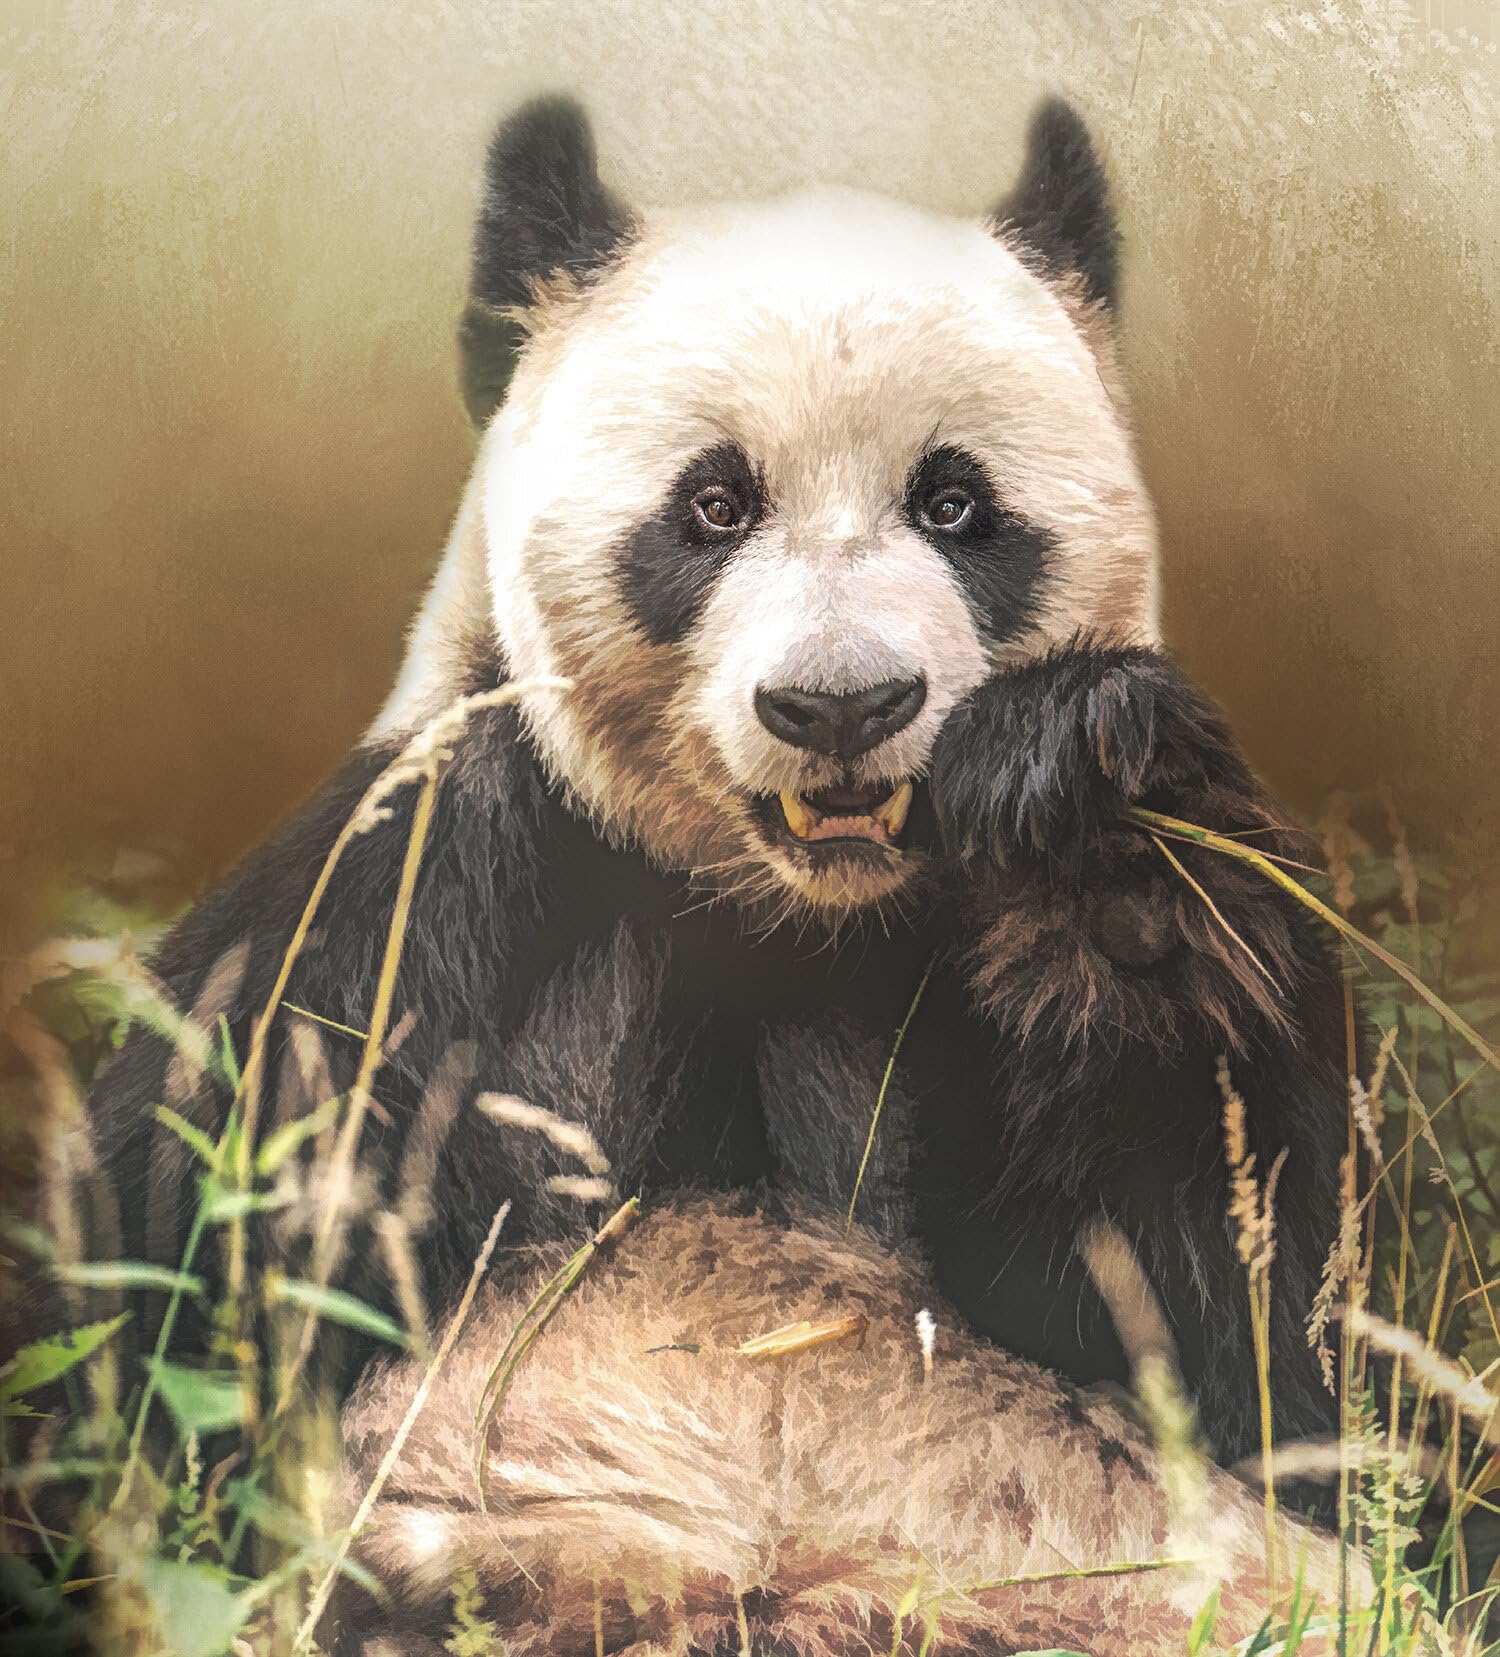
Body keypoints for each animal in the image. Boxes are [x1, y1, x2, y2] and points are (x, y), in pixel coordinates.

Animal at [90, 94, 1349, 1483]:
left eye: (954, 502)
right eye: (713, 503)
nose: (842, 705)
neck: (787, 918)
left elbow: (1216, 1306)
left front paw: (1087, 817)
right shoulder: (421, 902)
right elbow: (192, 1246)